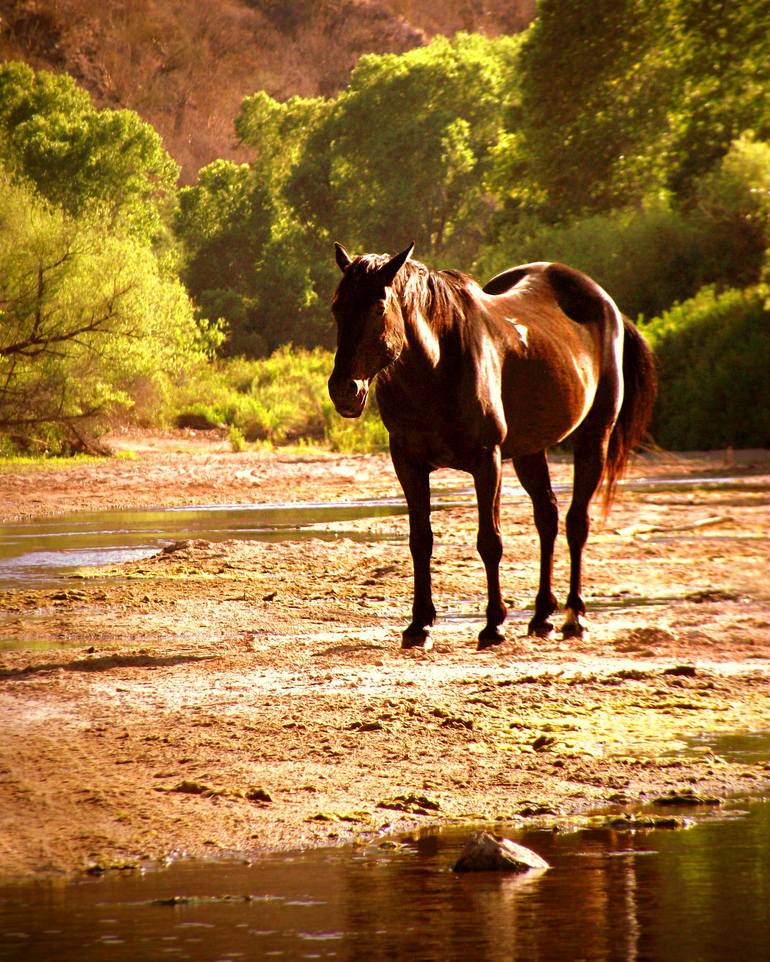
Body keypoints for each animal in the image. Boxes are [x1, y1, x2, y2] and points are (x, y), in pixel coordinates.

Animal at [324, 246, 656, 652]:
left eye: (377, 309)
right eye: (337, 307)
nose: (345, 391)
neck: (436, 367)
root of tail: (606, 304)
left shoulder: (488, 460)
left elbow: (490, 541)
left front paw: (493, 625)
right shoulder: (408, 463)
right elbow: (420, 540)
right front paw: (419, 626)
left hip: (595, 437)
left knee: (577, 522)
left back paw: (574, 618)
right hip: (531, 451)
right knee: (547, 518)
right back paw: (542, 617)